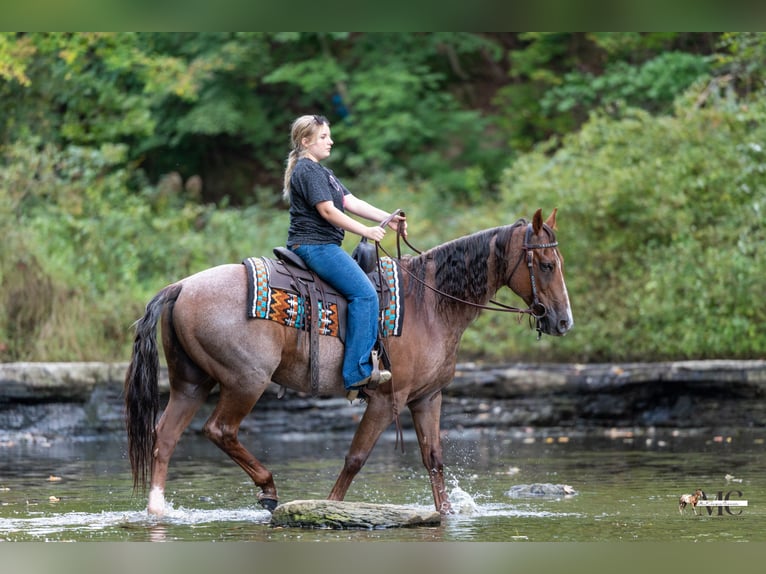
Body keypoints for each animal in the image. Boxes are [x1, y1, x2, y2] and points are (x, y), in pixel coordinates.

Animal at [124, 208, 574, 516]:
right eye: (546, 264)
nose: (563, 321)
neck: (430, 304)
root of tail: (180, 286)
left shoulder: (427, 398)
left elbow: (434, 460)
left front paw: (445, 513)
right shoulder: (387, 399)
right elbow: (355, 459)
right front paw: (329, 506)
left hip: (191, 383)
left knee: (165, 436)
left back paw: (158, 508)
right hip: (245, 381)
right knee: (220, 430)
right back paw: (268, 489)